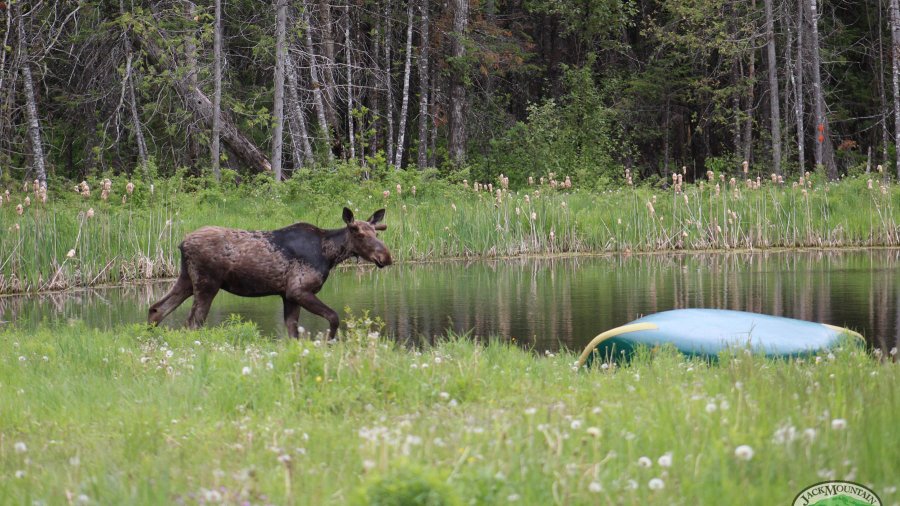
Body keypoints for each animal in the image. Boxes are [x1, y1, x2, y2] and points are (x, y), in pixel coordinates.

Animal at [148, 208, 391, 339]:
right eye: (359, 234)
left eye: (376, 233)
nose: (386, 257)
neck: (329, 255)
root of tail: (182, 244)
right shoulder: (298, 290)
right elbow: (333, 317)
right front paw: (328, 344)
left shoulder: (288, 296)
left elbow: (293, 333)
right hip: (207, 284)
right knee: (192, 323)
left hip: (186, 279)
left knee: (157, 308)